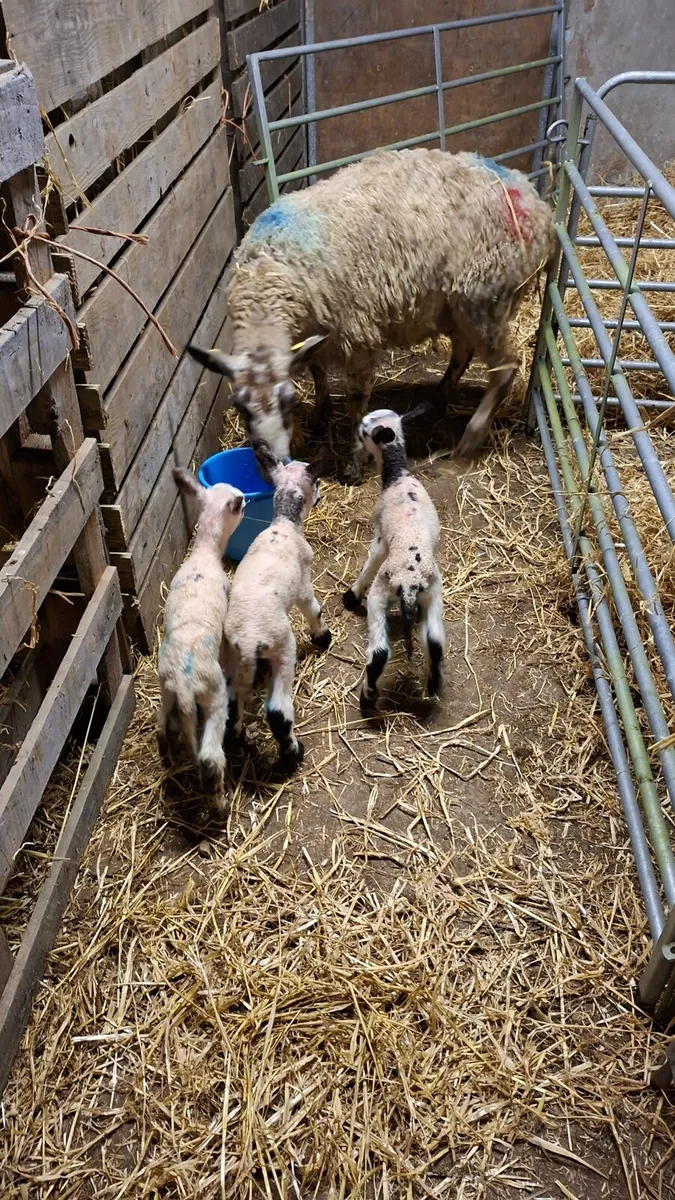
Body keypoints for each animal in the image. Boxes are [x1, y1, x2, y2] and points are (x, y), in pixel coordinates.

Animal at [157, 468, 245, 815]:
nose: (247, 502)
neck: (204, 553)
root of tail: (183, 686)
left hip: (166, 695)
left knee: (165, 730)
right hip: (213, 696)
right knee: (209, 755)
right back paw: (219, 801)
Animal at [187, 148, 554, 481]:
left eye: (289, 401)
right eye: (239, 407)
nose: (270, 467)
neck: (267, 279)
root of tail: (533, 198)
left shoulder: (357, 336)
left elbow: (356, 402)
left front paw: (353, 462)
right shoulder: (315, 337)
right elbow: (318, 374)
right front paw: (320, 415)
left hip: (484, 296)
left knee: (506, 366)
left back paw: (471, 435)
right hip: (456, 305)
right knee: (463, 354)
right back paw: (433, 403)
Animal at [225, 446, 331, 767]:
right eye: (317, 481)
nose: (322, 494)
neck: (284, 523)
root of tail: (249, 642)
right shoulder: (303, 582)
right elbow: (314, 609)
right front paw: (323, 638)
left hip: (232, 662)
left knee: (231, 707)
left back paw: (238, 741)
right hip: (283, 649)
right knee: (277, 712)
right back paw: (292, 754)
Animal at [343, 407, 445, 711]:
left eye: (365, 430)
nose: (355, 430)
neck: (397, 475)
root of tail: (410, 585)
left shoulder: (379, 538)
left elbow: (370, 562)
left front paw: (351, 595)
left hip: (381, 595)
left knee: (378, 653)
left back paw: (368, 697)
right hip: (433, 594)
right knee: (435, 643)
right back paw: (432, 686)